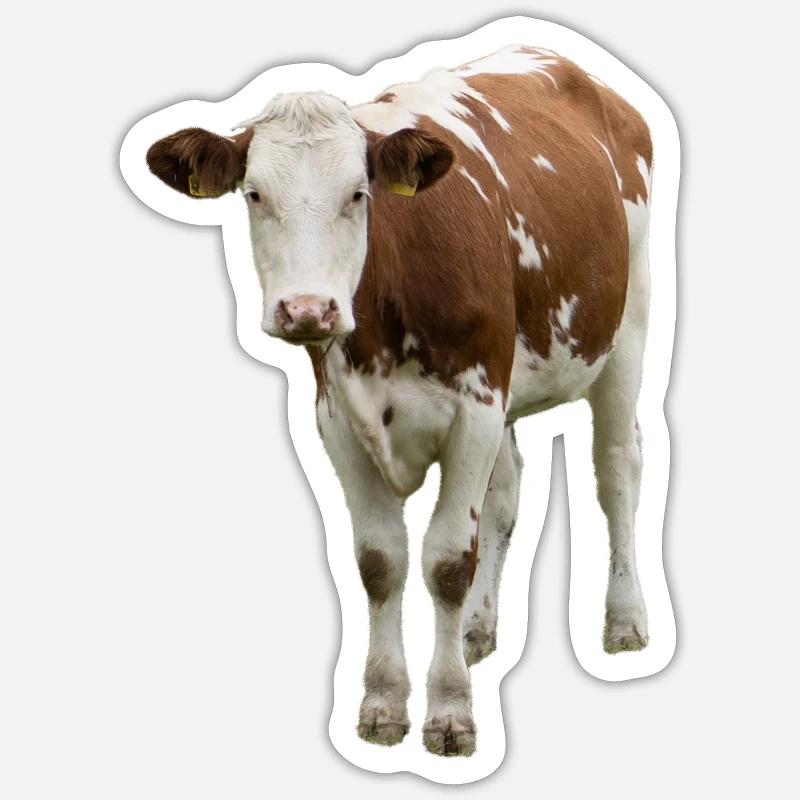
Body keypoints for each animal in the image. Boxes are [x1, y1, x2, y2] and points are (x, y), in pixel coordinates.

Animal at [145, 44, 653, 757]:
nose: (307, 309)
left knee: (616, 470)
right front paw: (384, 703)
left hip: (626, 328)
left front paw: (450, 714)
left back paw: (625, 620)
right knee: (506, 492)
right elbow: (380, 561)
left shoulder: (474, 407)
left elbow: (447, 561)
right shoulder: (337, 418)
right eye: (254, 194)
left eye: (358, 194)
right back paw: (476, 629)